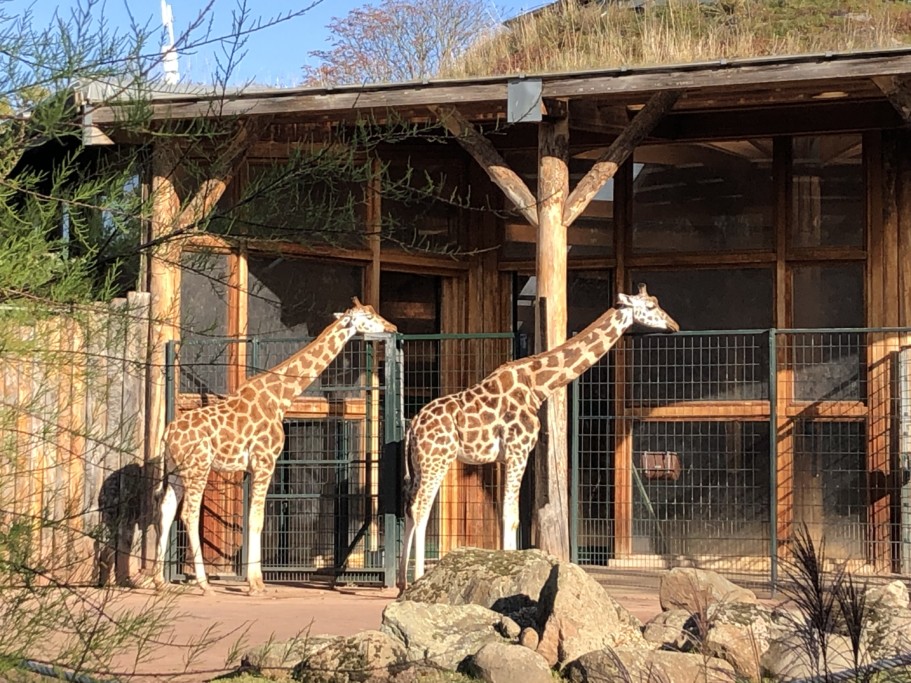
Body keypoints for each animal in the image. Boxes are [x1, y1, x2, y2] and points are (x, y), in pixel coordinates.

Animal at [146, 298, 396, 592]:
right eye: (368, 317)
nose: (392, 327)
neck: (279, 398)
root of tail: (167, 435)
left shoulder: (251, 467)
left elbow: (252, 518)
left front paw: (253, 580)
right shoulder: (265, 461)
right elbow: (258, 518)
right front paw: (256, 583)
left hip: (176, 471)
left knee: (165, 510)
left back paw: (158, 581)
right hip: (198, 468)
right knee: (188, 513)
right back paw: (204, 583)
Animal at [398, 286, 676, 592]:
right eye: (650, 307)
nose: (673, 325)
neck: (538, 385)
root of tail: (413, 427)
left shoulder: (506, 456)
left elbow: (508, 515)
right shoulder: (519, 450)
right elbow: (511, 517)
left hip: (419, 465)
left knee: (409, 507)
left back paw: (401, 581)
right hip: (437, 459)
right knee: (421, 507)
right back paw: (418, 578)